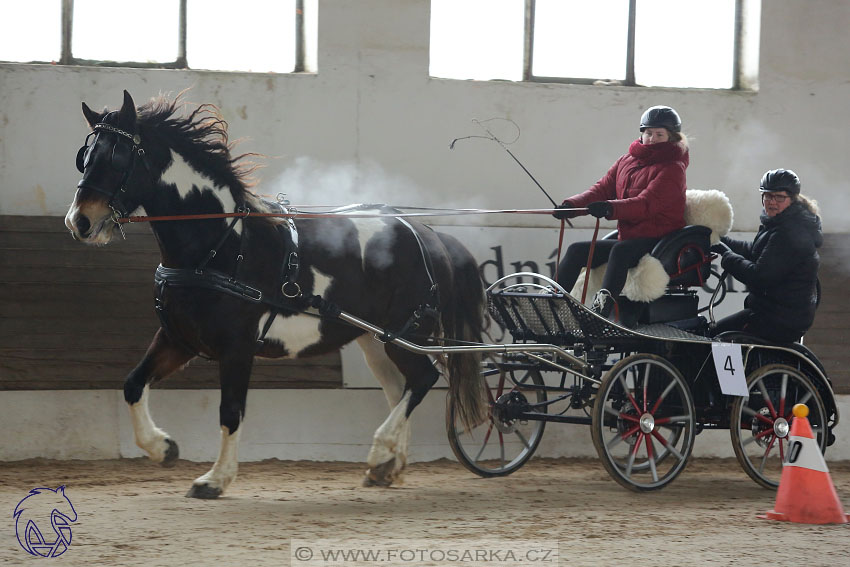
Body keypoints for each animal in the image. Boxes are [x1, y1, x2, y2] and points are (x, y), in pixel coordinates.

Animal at [63, 91, 486, 500]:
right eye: (85, 157)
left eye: (117, 157)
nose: (78, 221)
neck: (222, 246)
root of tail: (427, 234)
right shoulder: (178, 339)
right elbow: (133, 384)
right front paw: (163, 448)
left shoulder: (237, 347)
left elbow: (230, 411)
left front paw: (215, 479)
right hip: (376, 340)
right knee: (401, 388)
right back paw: (387, 466)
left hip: (404, 335)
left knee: (423, 379)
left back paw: (381, 450)